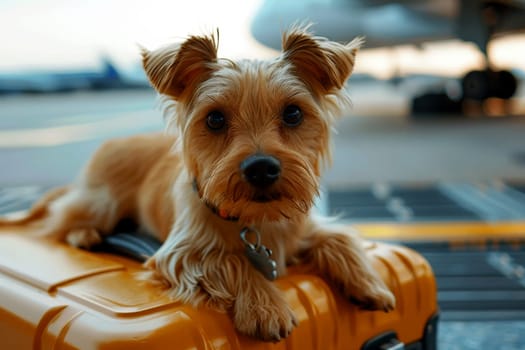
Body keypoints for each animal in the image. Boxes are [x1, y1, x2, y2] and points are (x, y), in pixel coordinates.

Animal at [0, 25, 392, 342]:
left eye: (293, 113)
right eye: (215, 119)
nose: (261, 168)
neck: (254, 221)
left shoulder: (305, 228)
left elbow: (340, 238)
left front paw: (370, 282)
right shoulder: (182, 253)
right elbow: (229, 261)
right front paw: (265, 306)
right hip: (101, 200)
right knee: (64, 216)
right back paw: (84, 233)